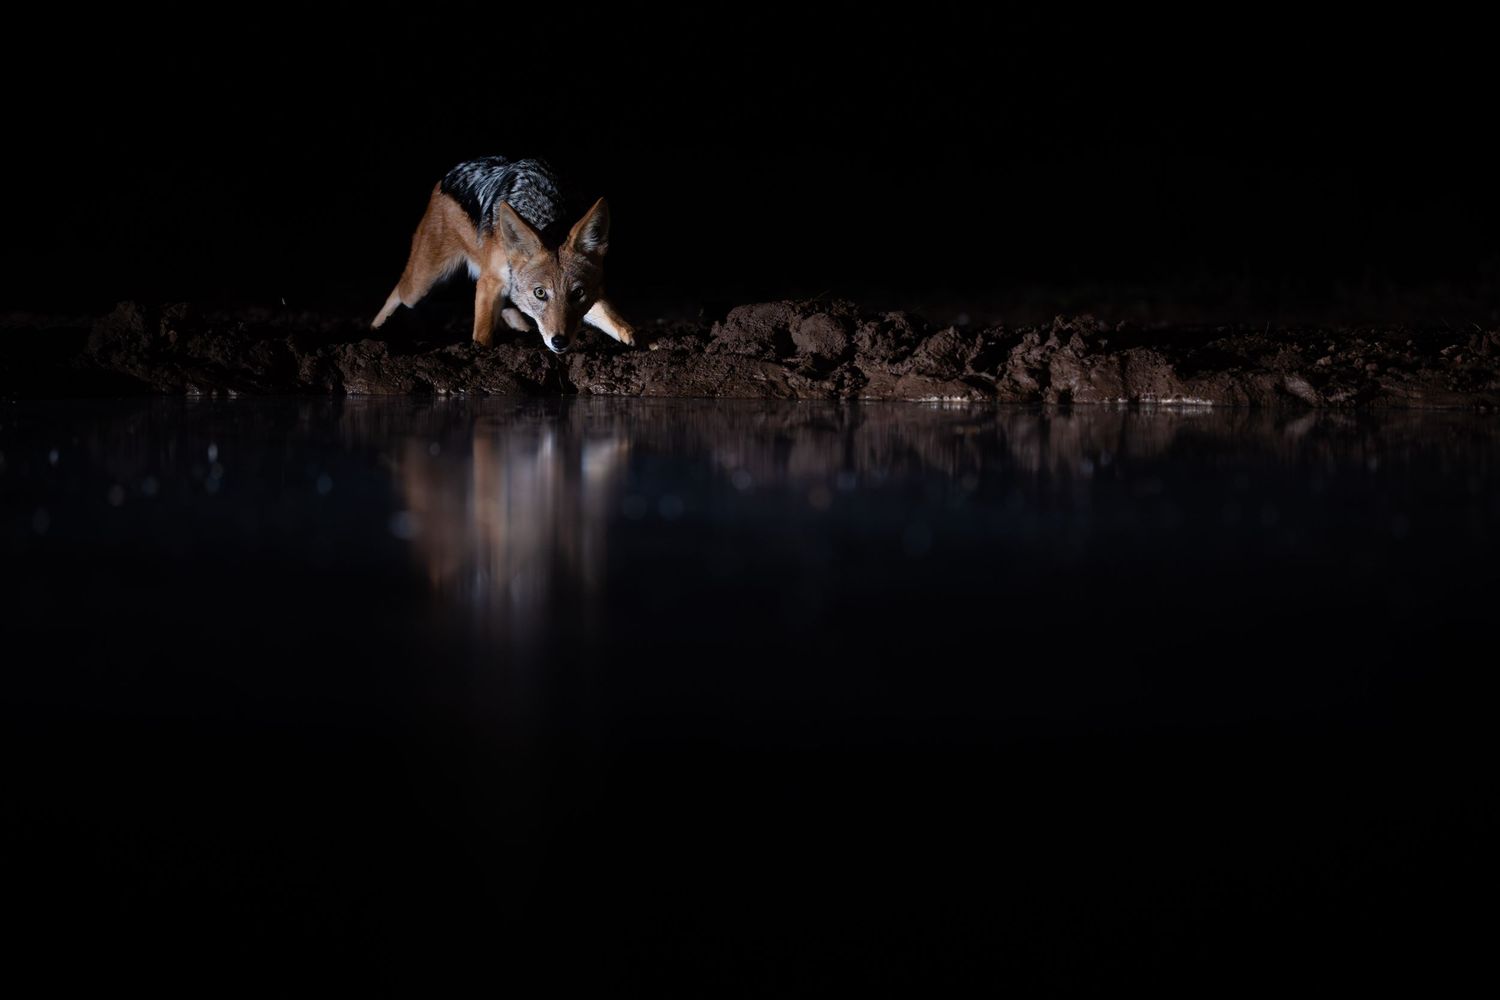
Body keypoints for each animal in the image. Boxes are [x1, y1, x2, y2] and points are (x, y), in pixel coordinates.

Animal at [372, 156, 634, 353]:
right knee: (398, 292)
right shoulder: (490, 282)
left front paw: (635, 340)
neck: (545, 209)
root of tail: (450, 174)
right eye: (540, 293)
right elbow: (482, 333)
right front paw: (481, 354)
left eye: (578, 293)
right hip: (423, 285)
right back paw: (374, 331)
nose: (559, 342)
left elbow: (616, 321)